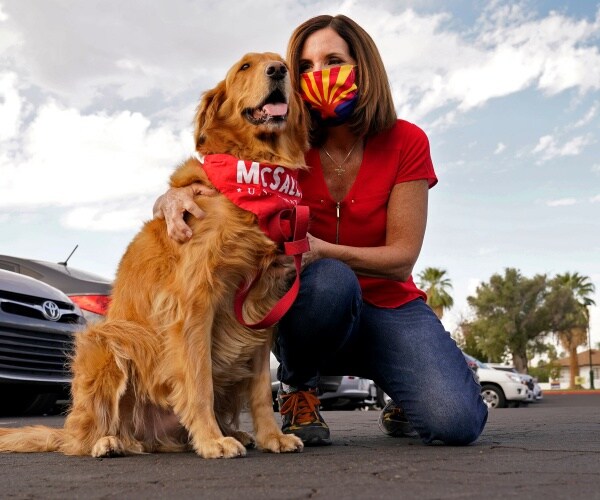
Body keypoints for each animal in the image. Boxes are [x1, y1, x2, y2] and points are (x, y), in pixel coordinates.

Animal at [0, 52, 308, 458]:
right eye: (245, 67)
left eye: (279, 61)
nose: (278, 70)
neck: (252, 174)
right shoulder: (194, 304)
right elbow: (199, 383)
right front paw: (211, 440)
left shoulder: (261, 306)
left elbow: (259, 391)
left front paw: (271, 436)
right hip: (109, 341)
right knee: (86, 436)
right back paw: (109, 441)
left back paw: (231, 432)